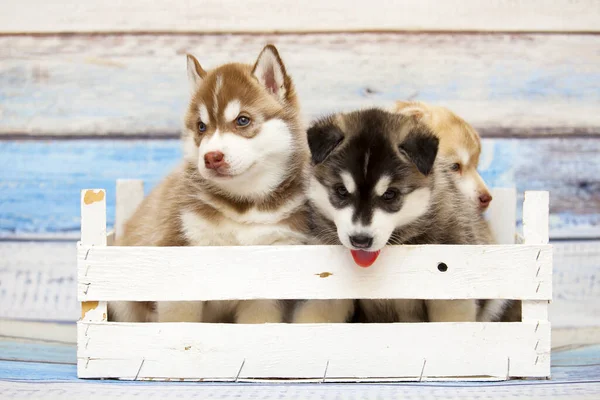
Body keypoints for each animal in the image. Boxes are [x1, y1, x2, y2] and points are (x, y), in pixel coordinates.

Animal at [109, 45, 312, 324]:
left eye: (242, 120)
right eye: (201, 126)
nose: (211, 157)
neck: (243, 205)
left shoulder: (268, 281)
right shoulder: (180, 252)